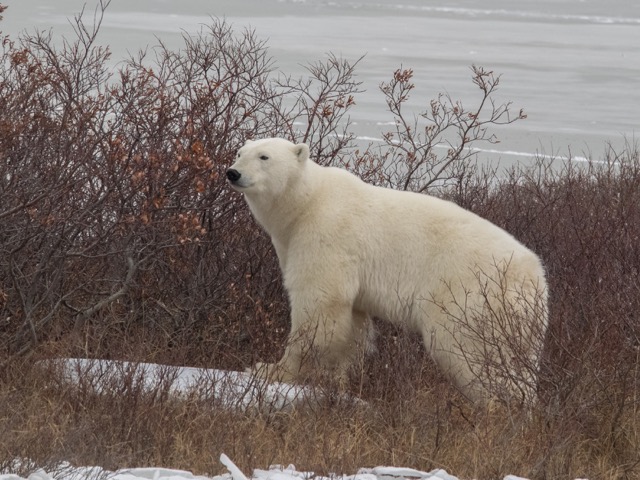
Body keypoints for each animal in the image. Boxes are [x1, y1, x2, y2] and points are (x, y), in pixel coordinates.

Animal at [226, 137, 548, 405]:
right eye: (240, 152)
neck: (305, 203)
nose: (232, 172)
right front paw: (337, 379)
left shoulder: (327, 234)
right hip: (516, 321)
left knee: (470, 352)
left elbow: (319, 304)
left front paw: (271, 369)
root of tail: (534, 277)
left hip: (470, 297)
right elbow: (352, 324)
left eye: (264, 156)